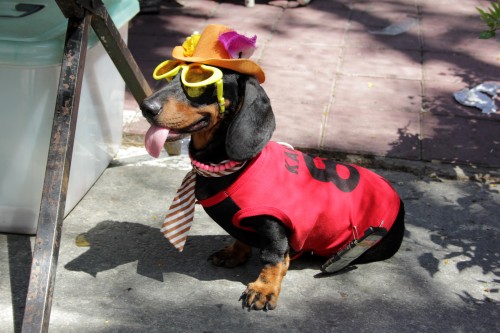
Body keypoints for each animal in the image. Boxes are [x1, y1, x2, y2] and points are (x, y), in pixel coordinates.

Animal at [139, 24, 404, 310]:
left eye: (199, 80)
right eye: (168, 74)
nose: (145, 107)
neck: (234, 167)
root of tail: (399, 203)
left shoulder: (272, 223)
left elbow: (274, 257)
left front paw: (263, 288)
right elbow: (241, 238)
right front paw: (235, 253)